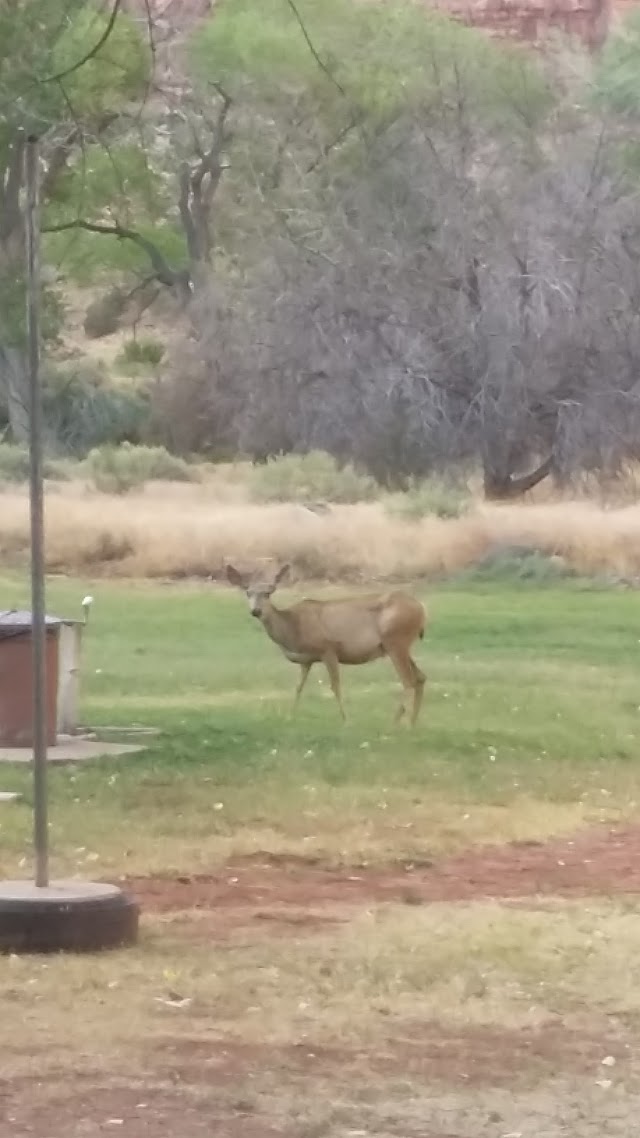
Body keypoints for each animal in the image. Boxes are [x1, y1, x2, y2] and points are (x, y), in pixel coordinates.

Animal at [223, 562, 423, 728]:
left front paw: (346, 721)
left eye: (268, 593)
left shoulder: (328, 649)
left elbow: (335, 686)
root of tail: (422, 609)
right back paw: (413, 723)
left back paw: (396, 723)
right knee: (420, 677)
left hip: (396, 640)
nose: (256, 611)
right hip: (401, 645)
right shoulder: (306, 660)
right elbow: (298, 687)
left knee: (408, 681)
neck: (293, 627)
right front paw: (290, 717)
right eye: (248, 593)